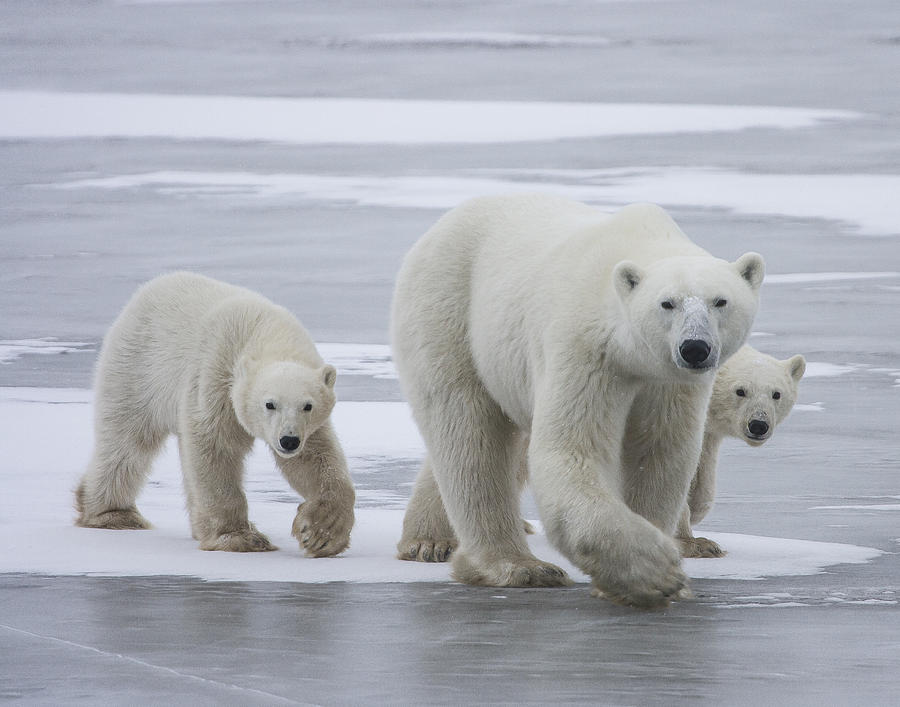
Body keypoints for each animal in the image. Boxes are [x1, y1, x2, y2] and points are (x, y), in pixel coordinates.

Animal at [75, 272, 356, 560]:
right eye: (269, 404)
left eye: (307, 406)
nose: (288, 440)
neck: (264, 330)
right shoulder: (216, 374)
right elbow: (215, 448)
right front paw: (240, 538)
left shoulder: (308, 427)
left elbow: (314, 459)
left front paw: (321, 533)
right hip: (138, 368)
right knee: (127, 443)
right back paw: (113, 514)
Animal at [390, 195, 764, 608]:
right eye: (667, 303)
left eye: (720, 301)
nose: (694, 348)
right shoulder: (586, 347)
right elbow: (571, 449)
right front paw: (656, 572)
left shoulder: (668, 383)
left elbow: (659, 457)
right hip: (450, 311)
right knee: (469, 433)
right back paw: (516, 566)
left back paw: (429, 540)